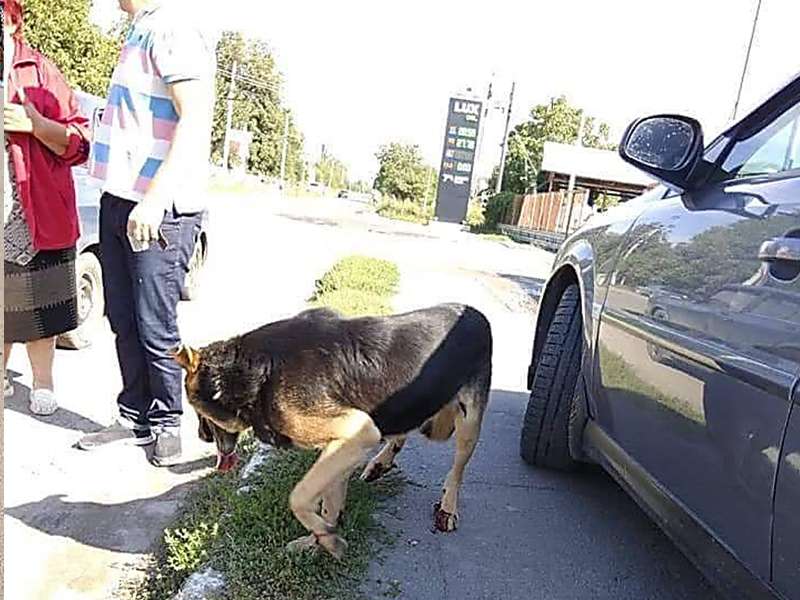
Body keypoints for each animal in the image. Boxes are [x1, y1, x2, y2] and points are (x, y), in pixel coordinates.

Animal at [172, 302, 490, 560]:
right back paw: (381, 463)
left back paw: (447, 507)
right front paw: (320, 539)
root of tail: (476, 313)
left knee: (457, 468)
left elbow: (299, 497)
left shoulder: (357, 432)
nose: (201, 436)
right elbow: (328, 503)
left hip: (467, 423)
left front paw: (328, 539)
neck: (254, 373)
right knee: (402, 430)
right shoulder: (342, 445)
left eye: (195, 410)